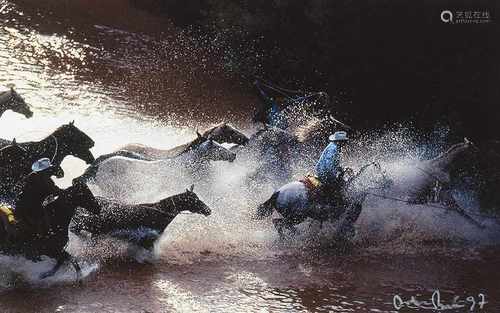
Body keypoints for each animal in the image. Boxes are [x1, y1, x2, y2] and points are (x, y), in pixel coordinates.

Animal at [70, 185, 211, 249]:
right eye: (194, 200)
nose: (208, 210)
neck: (161, 211)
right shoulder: (149, 239)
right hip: (92, 227)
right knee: (75, 229)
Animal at [256, 161, 392, 239]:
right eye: (382, 172)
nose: (390, 183)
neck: (352, 187)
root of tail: (277, 193)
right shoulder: (349, 211)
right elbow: (348, 225)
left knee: (278, 223)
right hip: (297, 217)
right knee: (279, 223)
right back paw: (294, 235)